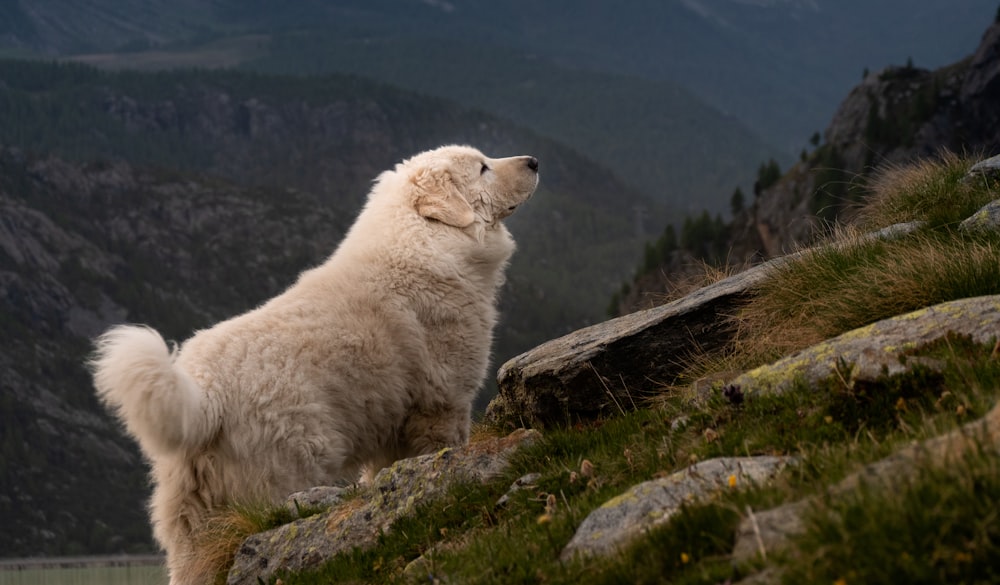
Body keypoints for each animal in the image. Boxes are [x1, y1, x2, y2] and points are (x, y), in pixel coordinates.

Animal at [90, 144, 540, 580]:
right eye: (482, 168)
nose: (533, 161)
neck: (425, 240)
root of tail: (205, 392)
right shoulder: (442, 404)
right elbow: (444, 451)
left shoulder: (393, 426)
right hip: (289, 469)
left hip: (192, 525)